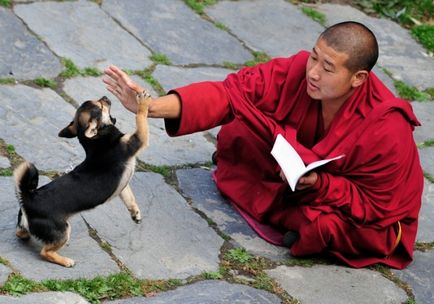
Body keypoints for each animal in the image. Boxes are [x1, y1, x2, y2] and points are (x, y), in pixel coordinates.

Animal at [13, 91, 152, 268]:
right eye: (100, 106)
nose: (105, 97)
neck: (96, 140)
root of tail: (27, 199)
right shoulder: (137, 139)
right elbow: (141, 118)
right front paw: (143, 103)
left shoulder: (122, 185)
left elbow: (130, 198)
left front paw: (135, 214)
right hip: (63, 230)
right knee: (45, 252)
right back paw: (65, 261)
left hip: (27, 226)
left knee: (21, 233)